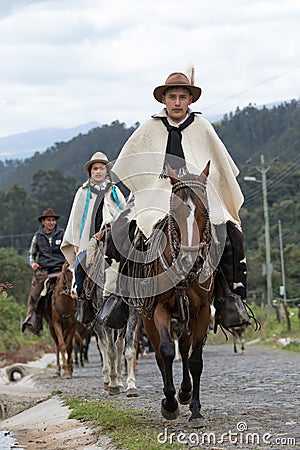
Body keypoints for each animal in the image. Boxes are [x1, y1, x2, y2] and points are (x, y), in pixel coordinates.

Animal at [142, 161, 214, 426]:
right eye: (175, 214)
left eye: (205, 213)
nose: (190, 262)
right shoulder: (159, 309)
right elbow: (165, 351)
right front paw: (170, 403)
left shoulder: (202, 312)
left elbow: (194, 360)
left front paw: (195, 409)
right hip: (148, 318)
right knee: (160, 354)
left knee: (184, 349)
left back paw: (185, 392)